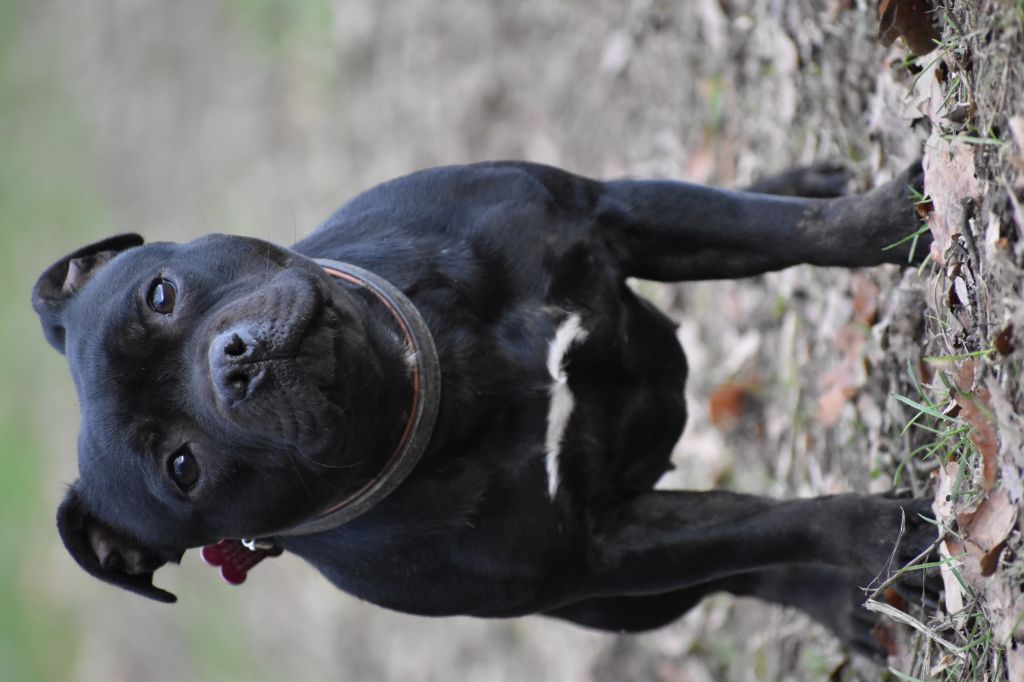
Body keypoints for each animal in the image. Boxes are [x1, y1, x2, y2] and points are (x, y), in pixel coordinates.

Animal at [36, 157, 937, 655]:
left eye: (159, 294)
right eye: (181, 467)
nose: (236, 363)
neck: (439, 373)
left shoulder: (612, 214)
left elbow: (798, 231)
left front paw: (904, 221)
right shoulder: (607, 549)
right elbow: (771, 527)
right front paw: (885, 533)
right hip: (628, 604)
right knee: (746, 578)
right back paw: (843, 605)